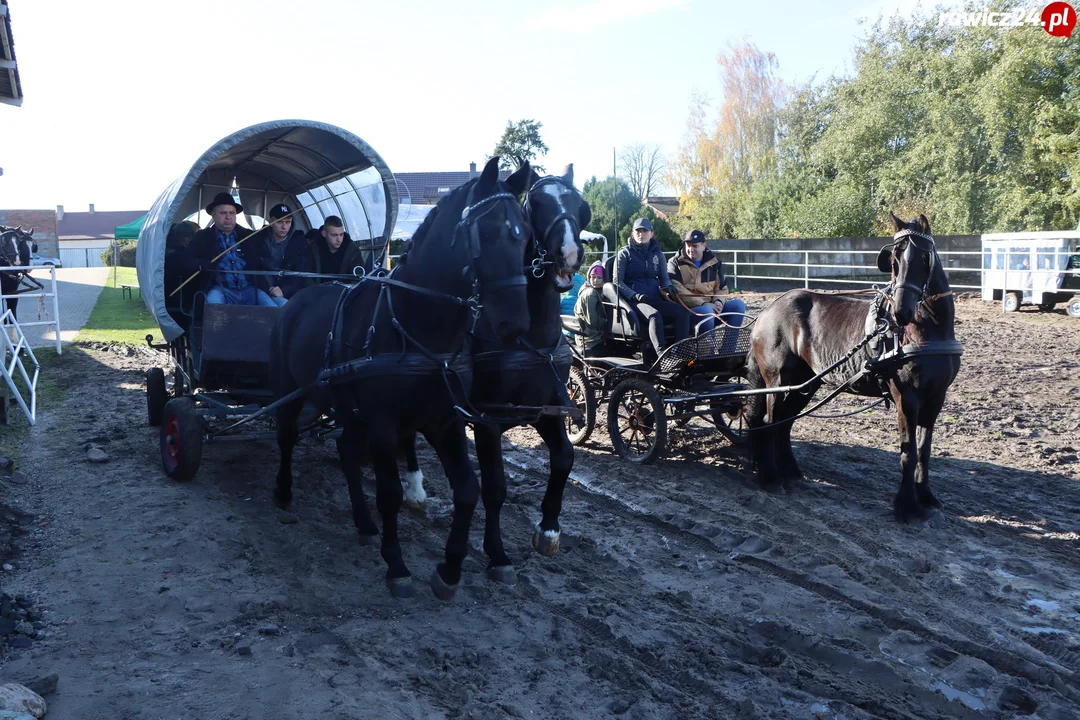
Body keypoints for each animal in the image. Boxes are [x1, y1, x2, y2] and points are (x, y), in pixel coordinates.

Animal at [272, 158, 533, 604]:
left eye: (524, 235)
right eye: (488, 232)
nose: (514, 326)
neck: (418, 328)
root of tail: (297, 300)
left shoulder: (445, 421)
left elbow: (467, 489)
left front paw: (449, 569)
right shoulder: (383, 423)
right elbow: (390, 493)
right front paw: (396, 566)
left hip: (348, 408)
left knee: (345, 451)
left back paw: (363, 523)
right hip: (293, 391)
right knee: (287, 436)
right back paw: (285, 492)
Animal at [403, 166, 591, 582]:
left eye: (580, 207)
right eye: (536, 205)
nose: (569, 253)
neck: (529, 339)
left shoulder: (547, 410)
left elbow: (565, 458)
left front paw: (548, 530)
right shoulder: (486, 420)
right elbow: (495, 488)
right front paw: (497, 554)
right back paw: (413, 489)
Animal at [743, 213, 963, 524]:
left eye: (924, 257)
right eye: (894, 260)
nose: (901, 313)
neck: (925, 333)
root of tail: (766, 311)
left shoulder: (936, 398)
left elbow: (924, 450)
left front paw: (926, 497)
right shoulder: (906, 398)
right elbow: (907, 452)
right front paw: (906, 506)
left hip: (806, 383)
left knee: (785, 423)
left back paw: (791, 473)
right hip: (778, 381)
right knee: (769, 422)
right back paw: (771, 478)